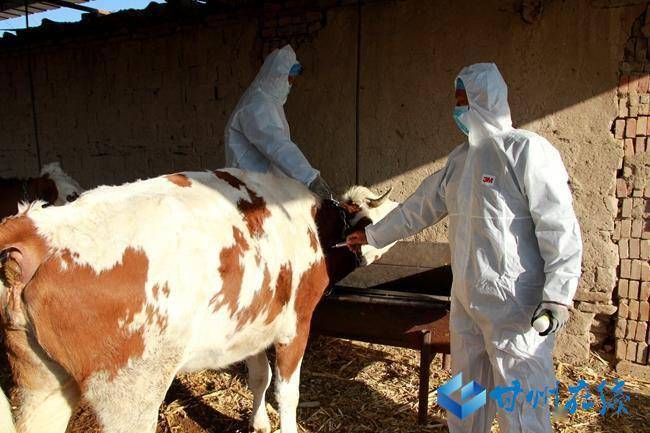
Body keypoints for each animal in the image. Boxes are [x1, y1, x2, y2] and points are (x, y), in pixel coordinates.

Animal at [0, 168, 394, 432]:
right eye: (381, 218)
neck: (317, 227)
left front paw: (258, 422)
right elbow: (287, 392)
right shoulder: (295, 324)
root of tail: (38, 229)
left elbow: (259, 377)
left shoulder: (252, 323)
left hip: (41, 380)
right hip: (129, 389)